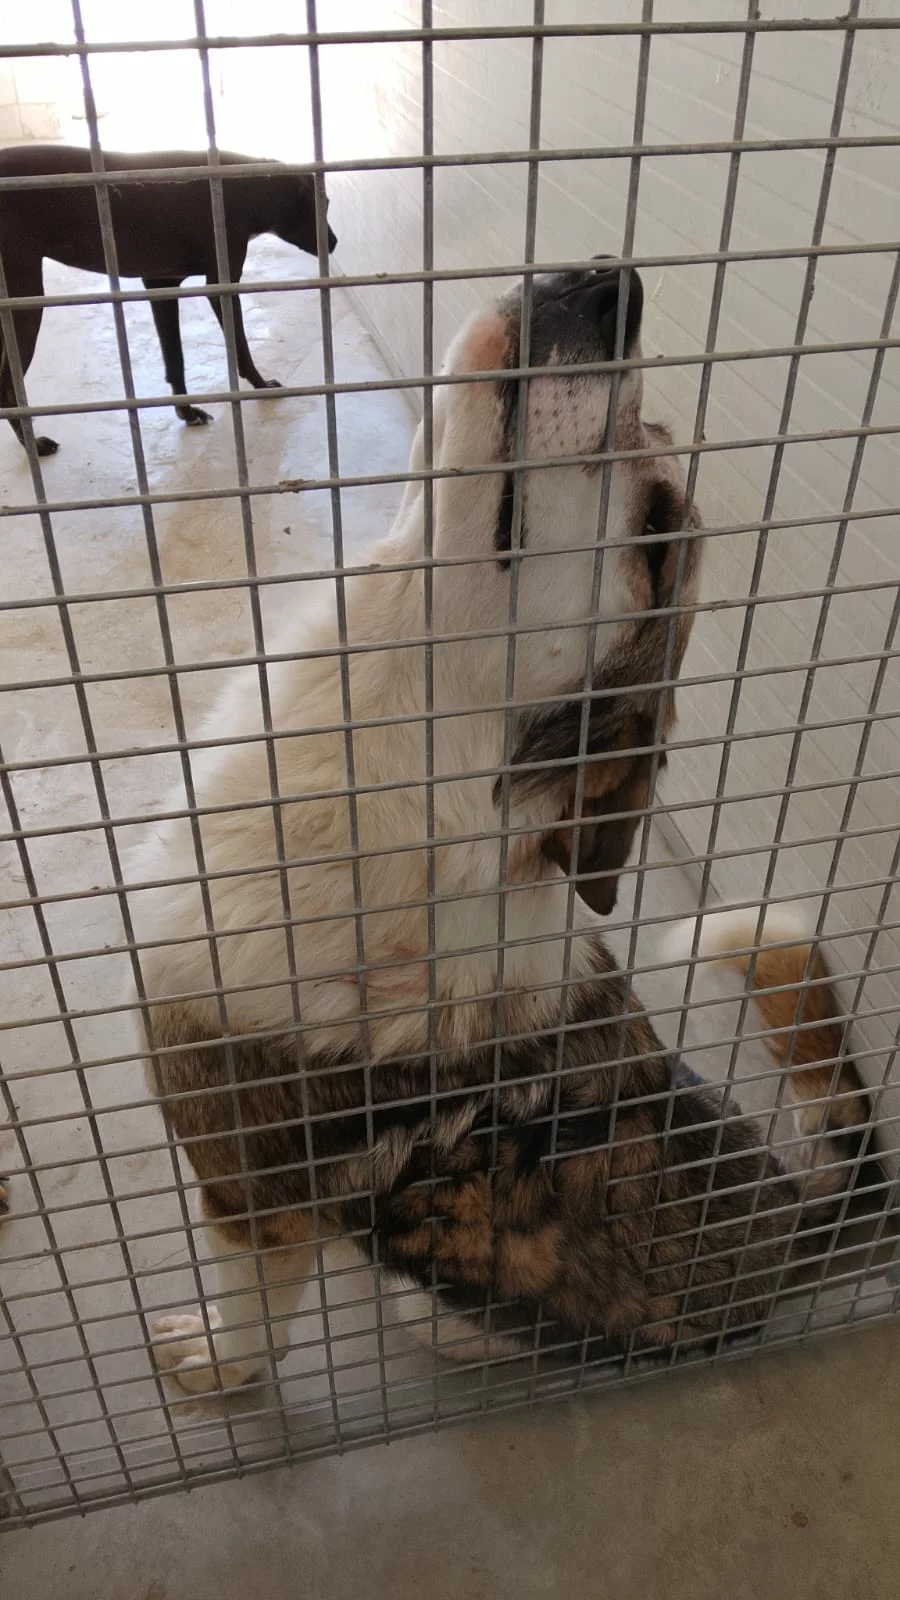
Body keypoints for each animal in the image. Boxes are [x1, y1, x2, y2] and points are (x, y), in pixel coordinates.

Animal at [0, 144, 337, 455]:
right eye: (321, 203)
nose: (333, 243)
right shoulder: (220, 285)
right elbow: (240, 346)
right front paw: (260, 385)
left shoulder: (161, 284)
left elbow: (175, 358)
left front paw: (185, 412)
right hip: (25, 299)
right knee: (7, 388)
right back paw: (33, 444)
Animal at [128, 260, 871, 1392]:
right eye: (650, 426)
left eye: (657, 533)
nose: (615, 285)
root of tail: (802, 1228)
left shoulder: (248, 1198)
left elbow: (256, 1329)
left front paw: (215, 1365)